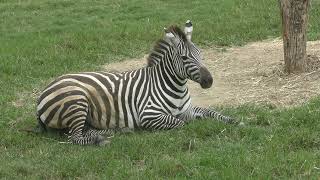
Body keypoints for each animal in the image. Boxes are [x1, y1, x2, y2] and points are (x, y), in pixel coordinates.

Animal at [36, 20, 239, 146]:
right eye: (184, 58)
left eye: (200, 53)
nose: (209, 81)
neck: (176, 87)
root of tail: (43, 92)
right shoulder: (149, 115)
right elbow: (181, 123)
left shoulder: (187, 109)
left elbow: (210, 112)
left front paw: (234, 121)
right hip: (77, 102)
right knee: (75, 137)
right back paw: (101, 140)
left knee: (85, 130)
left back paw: (117, 131)